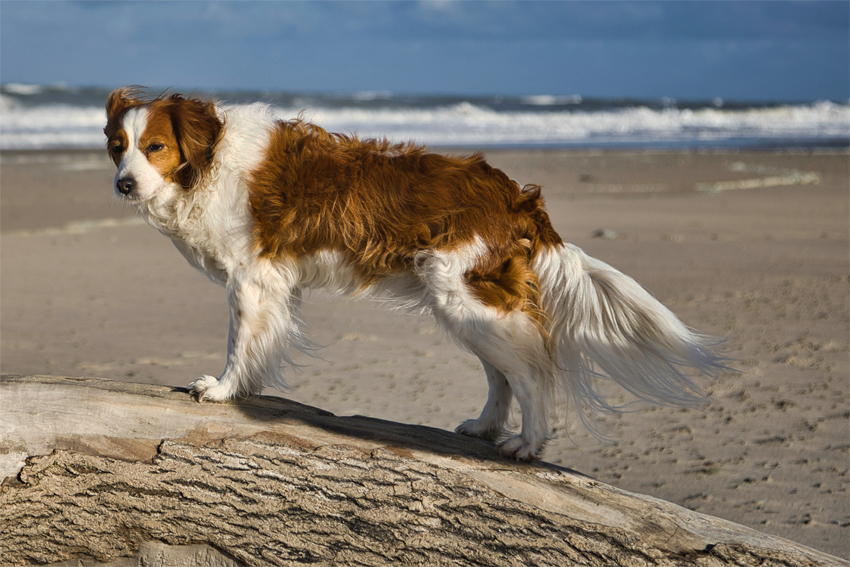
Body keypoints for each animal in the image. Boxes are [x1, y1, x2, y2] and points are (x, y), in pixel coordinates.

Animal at [99, 89, 724, 462]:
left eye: (155, 146)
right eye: (117, 147)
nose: (123, 185)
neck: (207, 161)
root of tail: (516, 196)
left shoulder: (252, 279)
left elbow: (239, 343)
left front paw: (225, 389)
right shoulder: (270, 283)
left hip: (468, 299)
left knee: (530, 374)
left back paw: (528, 442)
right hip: (465, 306)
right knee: (502, 375)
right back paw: (486, 427)